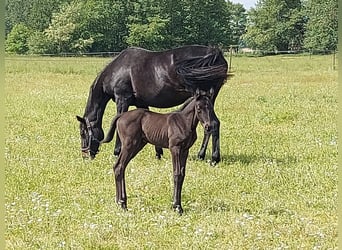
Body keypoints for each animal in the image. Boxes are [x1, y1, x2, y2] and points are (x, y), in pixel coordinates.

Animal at [76, 44, 228, 162]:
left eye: (83, 133)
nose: (85, 155)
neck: (118, 70)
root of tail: (215, 54)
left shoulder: (122, 100)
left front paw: (117, 152)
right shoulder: (141, 103)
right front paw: (158, 153)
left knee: (212, 125)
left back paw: (212, 158)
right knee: (213, 125)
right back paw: (204, 156)